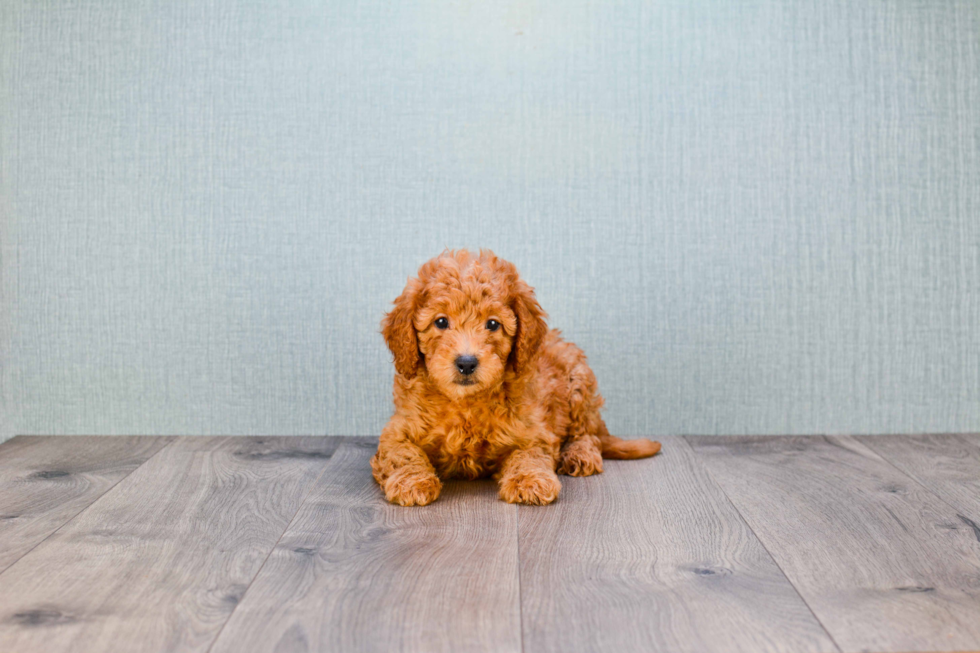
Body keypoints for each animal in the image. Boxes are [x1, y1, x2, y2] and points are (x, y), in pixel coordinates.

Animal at [372, 250, 664, 504]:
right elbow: (404, 453)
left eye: (492, 324)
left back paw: (579, 454)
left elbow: (530, 454)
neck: (466, 404)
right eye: (441, 322)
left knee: (589, 434)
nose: (466, 362)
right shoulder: (396, 431)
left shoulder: (535, 430)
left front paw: (529, 481)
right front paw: (412, 481)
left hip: (579, 381)